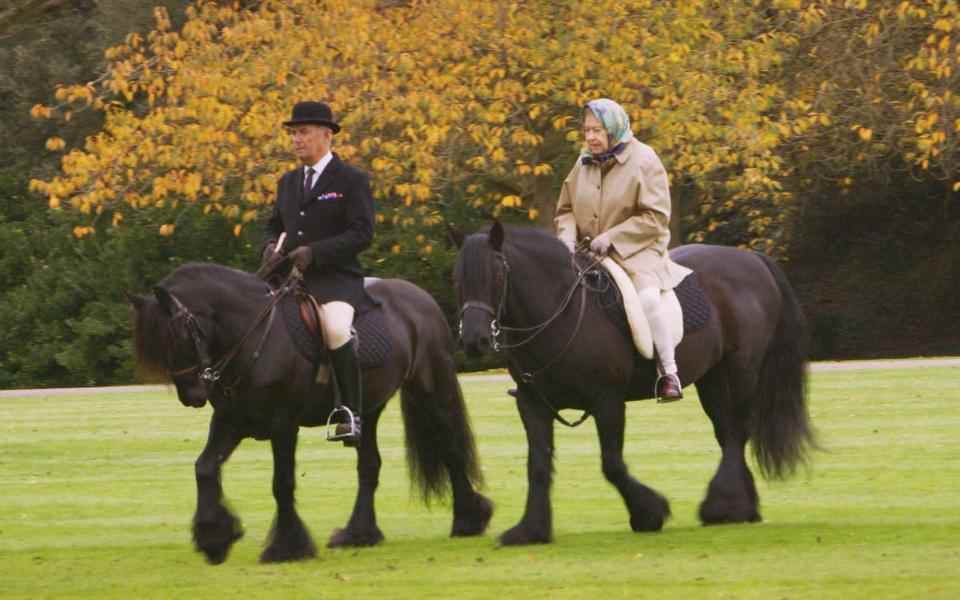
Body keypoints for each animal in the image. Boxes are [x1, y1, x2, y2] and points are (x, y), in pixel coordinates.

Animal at [129, 262, 488, 564]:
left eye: (179, 335)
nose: (192, 396)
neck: (254, 336)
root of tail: (419, 297)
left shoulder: (283, 425)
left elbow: (282, 483)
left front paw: (287, 547)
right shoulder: (231, 421)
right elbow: (204, 468)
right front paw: (214, 538)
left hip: (430, 390)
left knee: (451, 449)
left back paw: (468, 520)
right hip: (368, 411)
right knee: (369, 465)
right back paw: (359, 533)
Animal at [454, 223, 812, 548]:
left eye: (497, 274)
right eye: (459, 277)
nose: (474, 341)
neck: (561, 314)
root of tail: (752, 259)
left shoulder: (607, 401)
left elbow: (612, 464)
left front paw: (649, 512)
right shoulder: (533, 405)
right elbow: (538, 466)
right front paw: (531, 530)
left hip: (740, 372)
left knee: (737, 433)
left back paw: (723, 506)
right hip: (713, 379)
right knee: (728, 434)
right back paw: (741, 507)